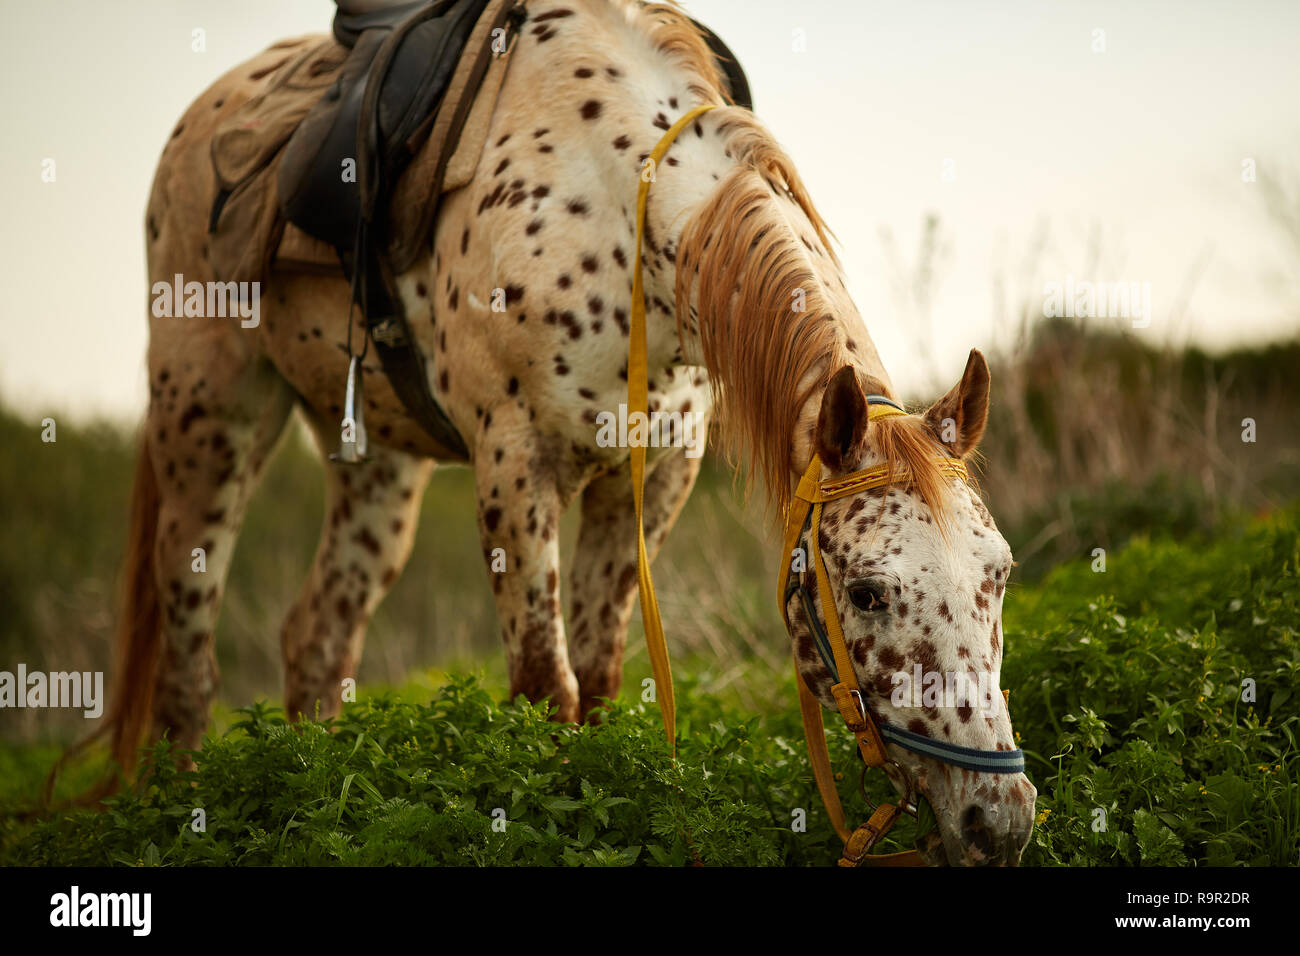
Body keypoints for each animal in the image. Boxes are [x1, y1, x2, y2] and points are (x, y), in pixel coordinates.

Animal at [86, 0, 1029, 868]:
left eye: (1002, 575)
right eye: (866, 591)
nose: (1002, 819)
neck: (624, 211)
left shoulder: (651, 479)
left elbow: (602, 683)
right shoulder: (515, 467)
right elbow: (548, 687)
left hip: (376, 466)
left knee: (316, 636)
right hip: (210, 423)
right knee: (188, 652)